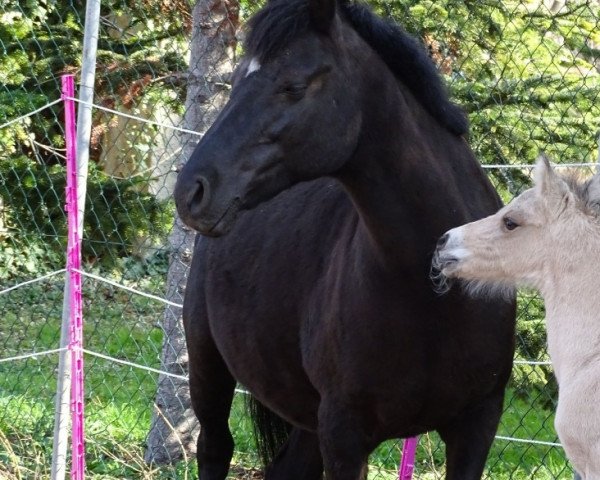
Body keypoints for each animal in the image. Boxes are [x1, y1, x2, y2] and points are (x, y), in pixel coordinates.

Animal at [173, 0, 516, 480]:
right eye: (238, 79)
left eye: (294, 86)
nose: (191, 190)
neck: (436, 295)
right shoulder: (344, 434)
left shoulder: (477, 426)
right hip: (209, 367)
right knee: (214, 448)